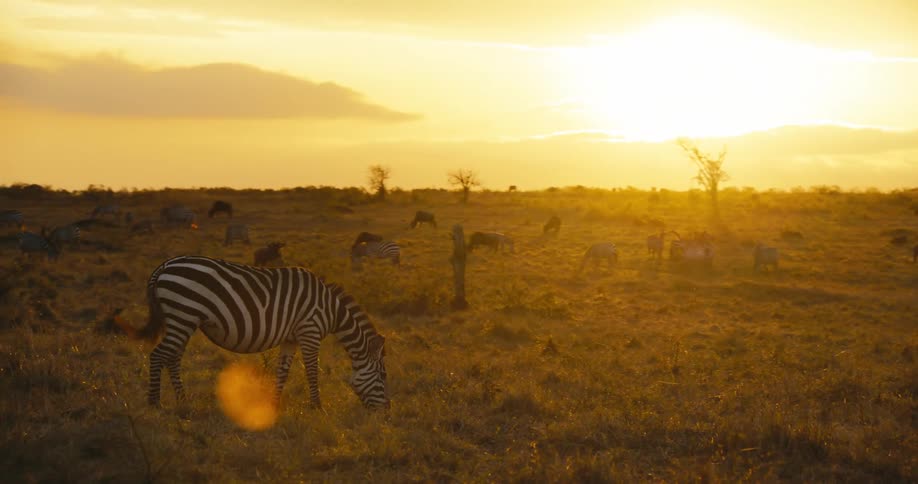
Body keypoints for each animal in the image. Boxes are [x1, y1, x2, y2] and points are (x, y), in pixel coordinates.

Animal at [140, 256, 389, 410]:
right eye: (382, 376)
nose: (386, 411)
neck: (332, 310)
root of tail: (164, 266)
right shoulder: (310, 331)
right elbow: (311, 371)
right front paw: (317, 406)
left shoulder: (291, 338)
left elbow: (283, 371)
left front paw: (274, 404)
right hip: (183, 315)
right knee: (158, 355)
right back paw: (155, 403)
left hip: (183, 320)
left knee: (173, 358)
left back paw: (183, 400)